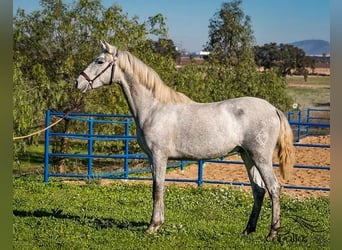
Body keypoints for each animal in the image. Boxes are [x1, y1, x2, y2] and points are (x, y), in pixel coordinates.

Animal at [75, 41, 294, 240]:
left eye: (99, 61)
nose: (78, 82)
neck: (154, 108)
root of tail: (273, 109)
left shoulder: (159, 156)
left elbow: (158, 188)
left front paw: (153, 226)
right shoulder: (153, 158)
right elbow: (156, 187)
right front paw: (157, 223)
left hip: (261, 157)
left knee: (274, 188)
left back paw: (272, 232)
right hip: (247, 156)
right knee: (258, 190)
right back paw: (248, 230)